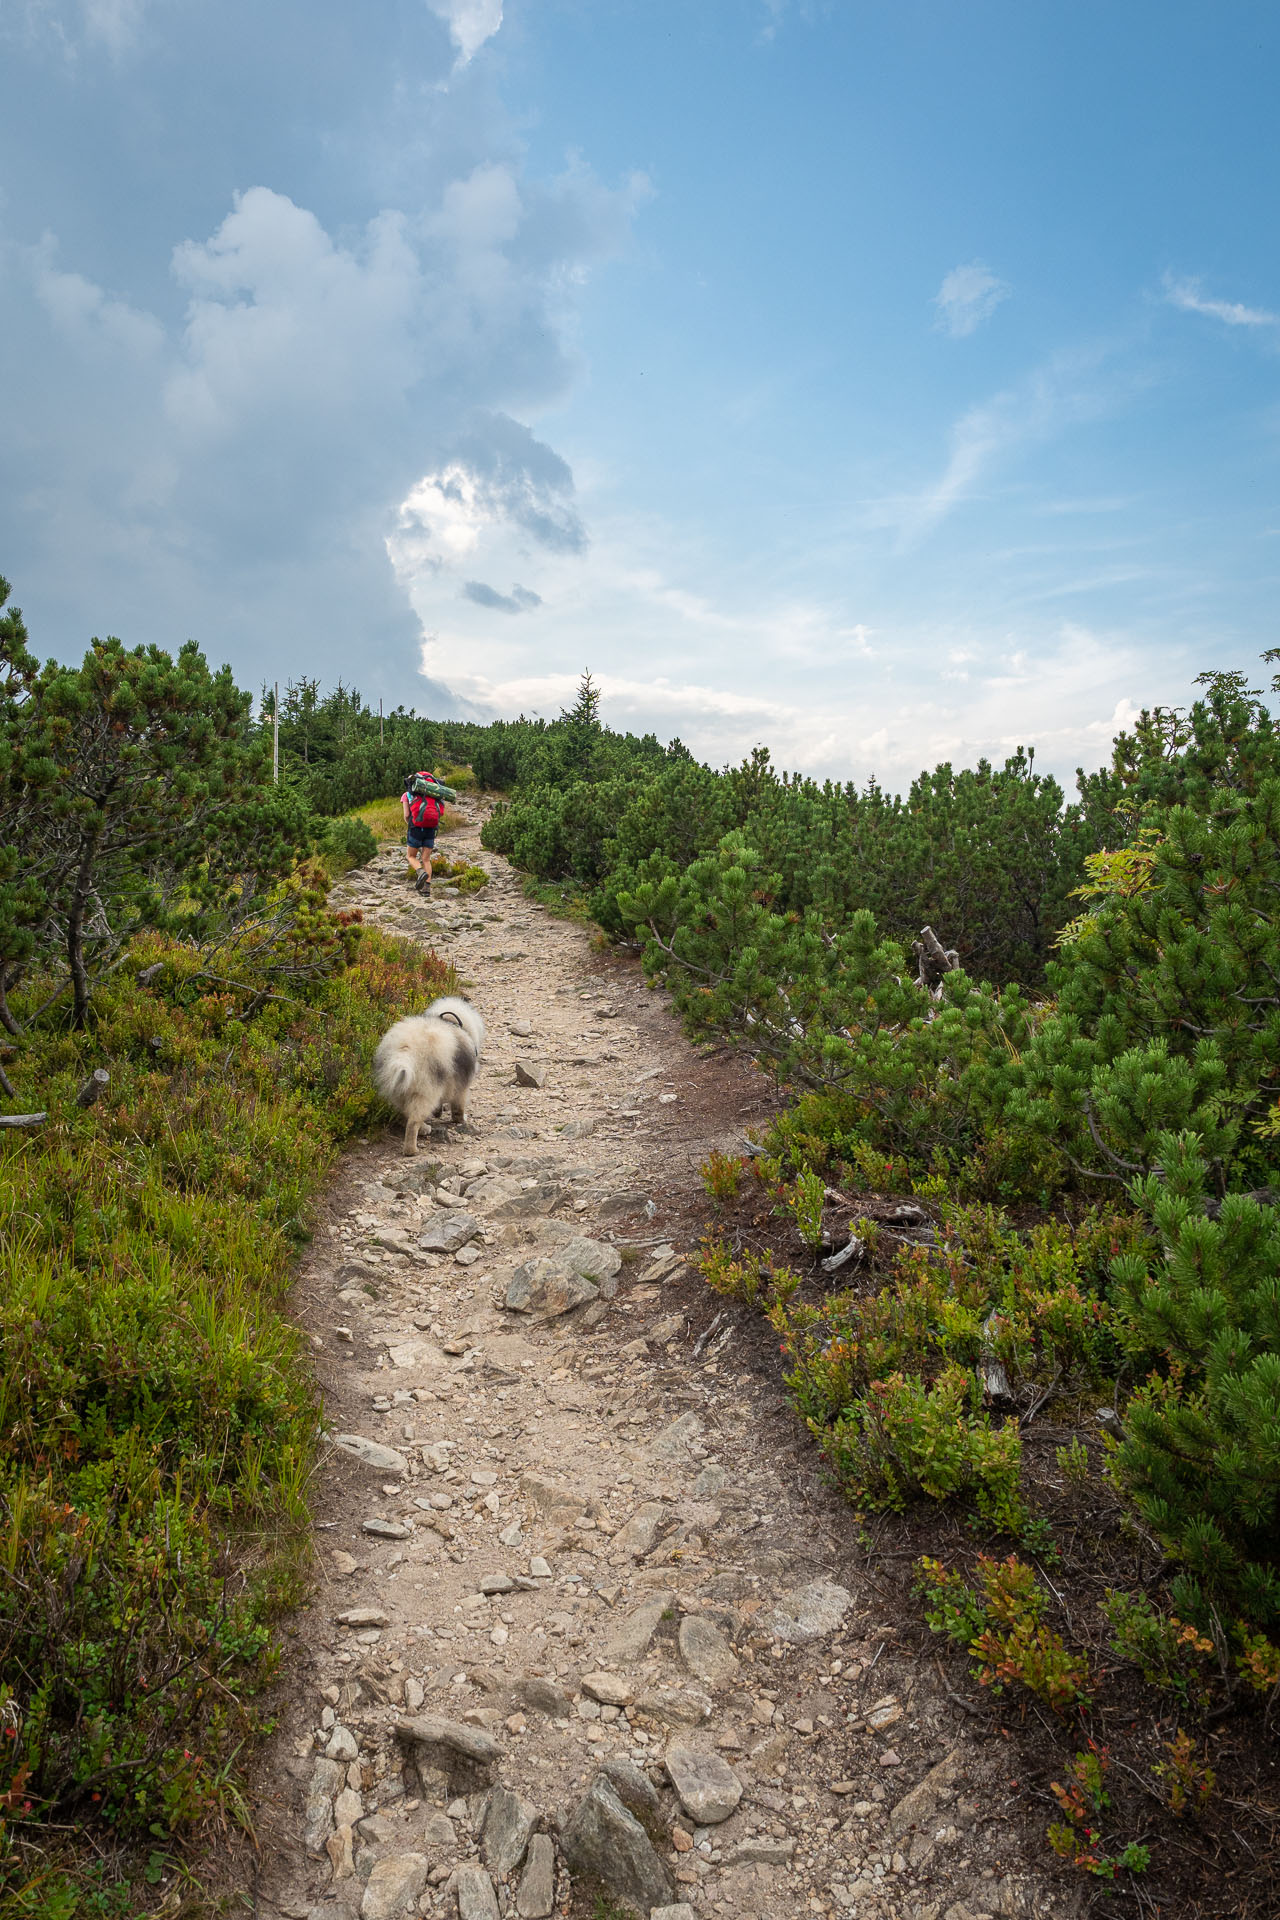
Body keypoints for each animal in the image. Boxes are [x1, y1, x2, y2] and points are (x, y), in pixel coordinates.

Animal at [376, 998, 491, 1144]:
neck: (450, 1020)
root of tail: (406, 1050)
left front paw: (438, 1112)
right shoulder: (461, 1085)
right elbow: (458, 1107)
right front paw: (460, 1119)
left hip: (401, 1089)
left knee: (407, 1114)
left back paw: (424, 1128)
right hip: (427, 1089)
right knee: (413, 1122)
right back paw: (413, 1146)